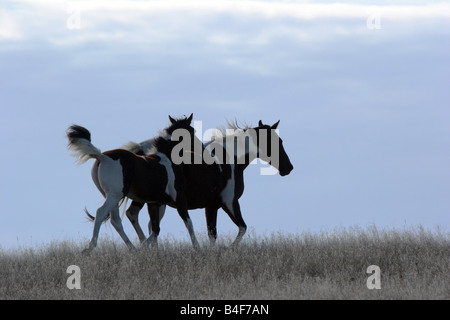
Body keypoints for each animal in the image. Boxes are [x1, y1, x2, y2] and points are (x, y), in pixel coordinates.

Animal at [66, 115, 200, 252]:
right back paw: (90, 247)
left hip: (111, 196)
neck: (167, 159)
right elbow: (187, 223)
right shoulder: (179, 199)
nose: (200, 150)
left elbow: (155, 229)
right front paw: (197, 248)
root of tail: (102, 156)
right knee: (101, 213)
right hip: (115, 196)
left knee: (116, 221)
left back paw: (133, 249)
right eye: (192, 131)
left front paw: (147, 248)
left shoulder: (155, 202)